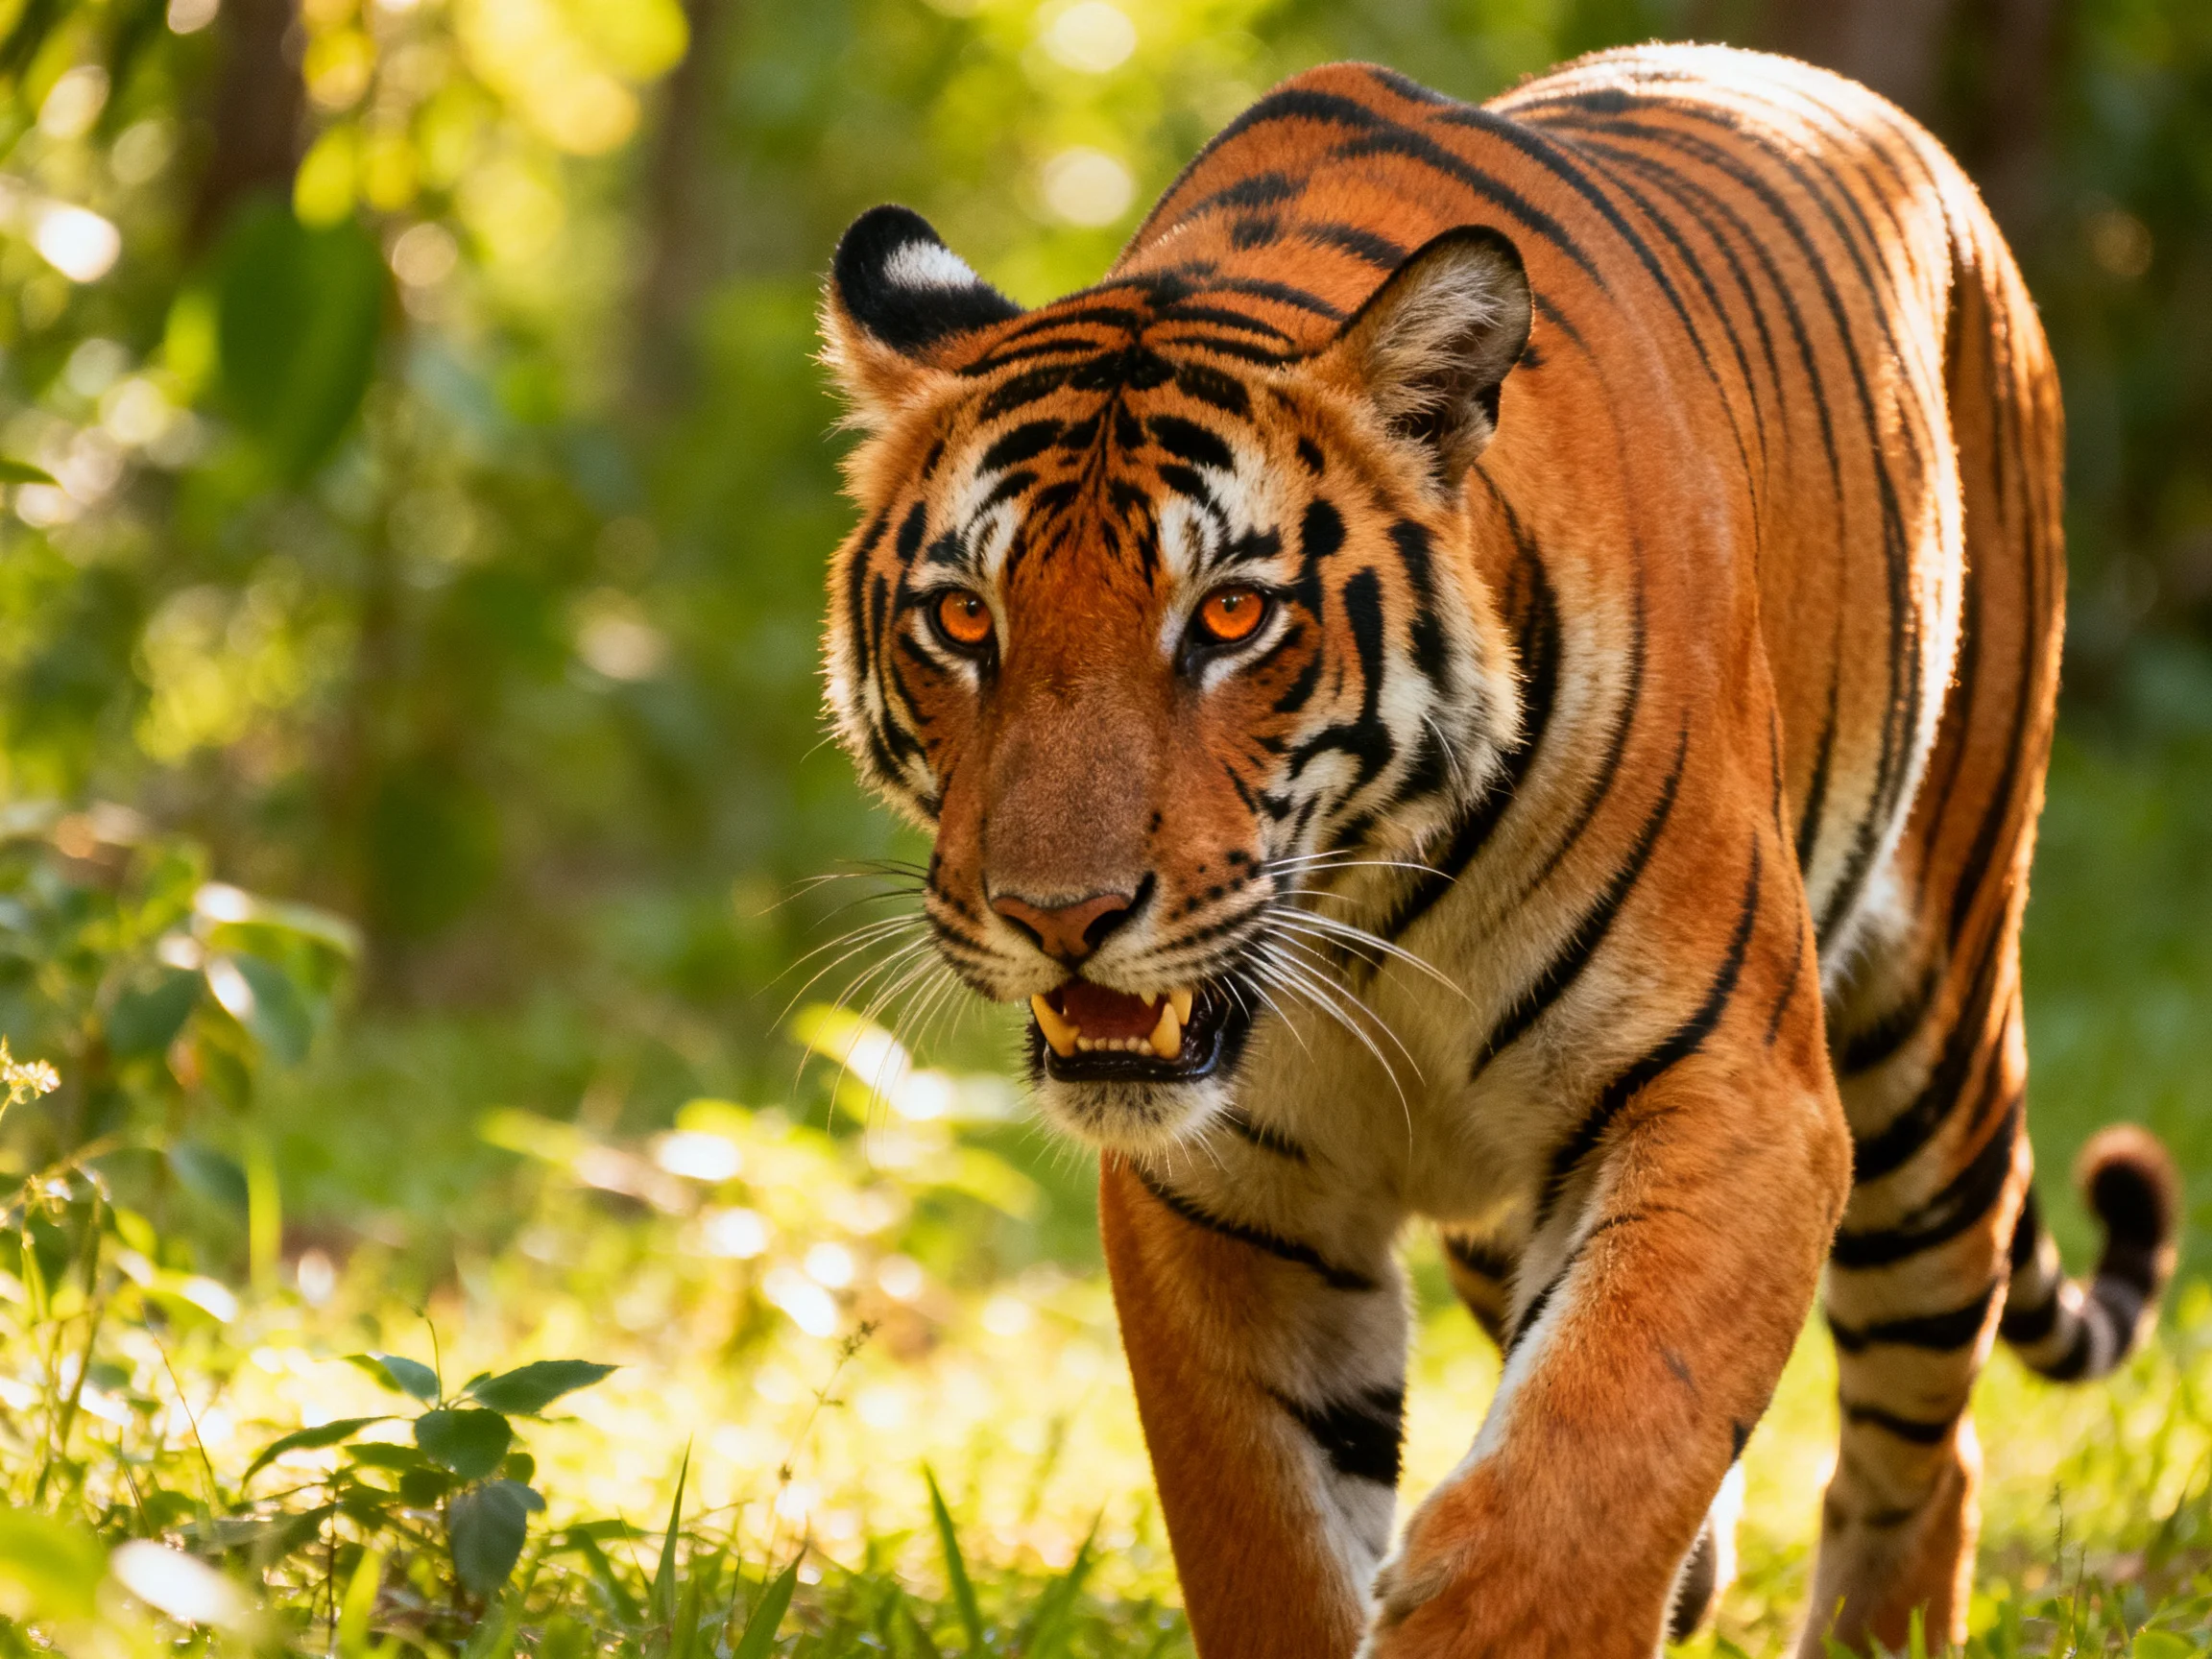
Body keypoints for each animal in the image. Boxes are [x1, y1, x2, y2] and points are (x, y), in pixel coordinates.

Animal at [815, 42, 2179, 1659]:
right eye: (965, 618)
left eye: (1230, 616)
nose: (1058, 915)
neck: (1369, 910)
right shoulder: (1223, 1193)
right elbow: (1269, 1535)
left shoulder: (1736, 1094)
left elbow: (1591, 1461)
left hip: (1932, 1043)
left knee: (1924, 1449)